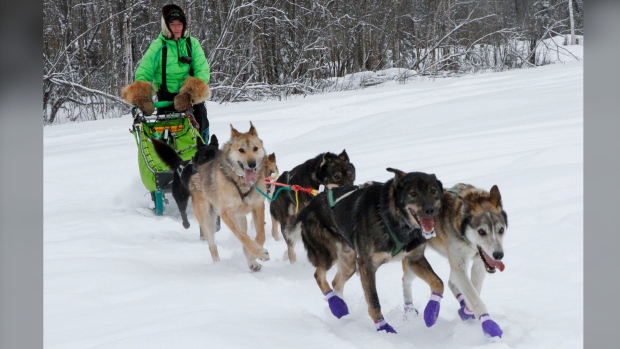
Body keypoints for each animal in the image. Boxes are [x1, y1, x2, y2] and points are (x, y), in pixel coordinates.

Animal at [189, 122, 272, 272]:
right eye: (241, 150)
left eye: (255, 148)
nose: (252, 164)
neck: (242, 181)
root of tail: (197, 173)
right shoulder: (226, 214)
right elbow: (242, 236)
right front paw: (259, 253)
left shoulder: (258, 206)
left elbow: (260, 236)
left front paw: (254, 255)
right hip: (207, 222)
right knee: (212, 246)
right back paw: (218, 265)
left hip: (240, 218)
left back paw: (251, 262)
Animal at [296, 168, 446, 332]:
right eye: (413, 193)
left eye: (433, 191)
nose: (430, 209)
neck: (391, 218)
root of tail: (308, 207)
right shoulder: (366, 266)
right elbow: (374, 301)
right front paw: (384, 328)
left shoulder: (414, 259)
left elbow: (439, 283)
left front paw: (432, 311)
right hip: (328, 255)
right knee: (318, 275)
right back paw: (336, 305)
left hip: (349, 263)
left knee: (336, 282)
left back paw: (342, 307)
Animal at [406, 182, 508, 338]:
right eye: (481, 231)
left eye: (501, 230)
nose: (498, 255)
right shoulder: (459, 265)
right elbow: (475, 298)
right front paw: (489, 325)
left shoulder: (478, 264)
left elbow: (475, 290)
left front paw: (466, 311)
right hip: (415, 260)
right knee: (405, 279)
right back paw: (408, 310)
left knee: (450, 281)